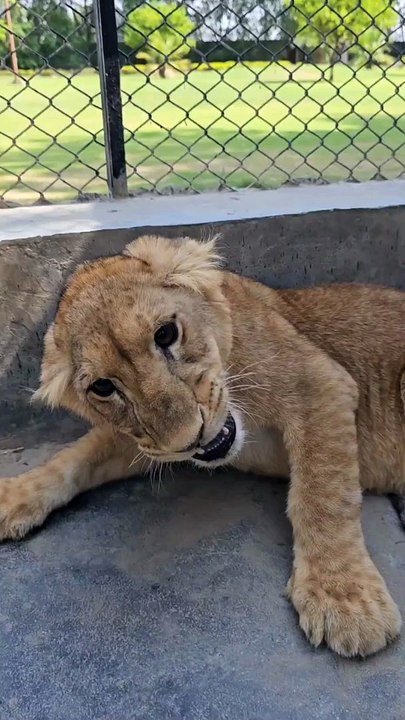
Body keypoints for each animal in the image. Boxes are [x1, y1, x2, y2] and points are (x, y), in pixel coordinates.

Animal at [0, 234, 404, 658]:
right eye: (103, 387)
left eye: (165, 334)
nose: (189, 437)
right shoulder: (149, 442)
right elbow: (73, 458)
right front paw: (12, 497)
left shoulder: (319, 381)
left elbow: (323, 493)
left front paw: (343, 600)